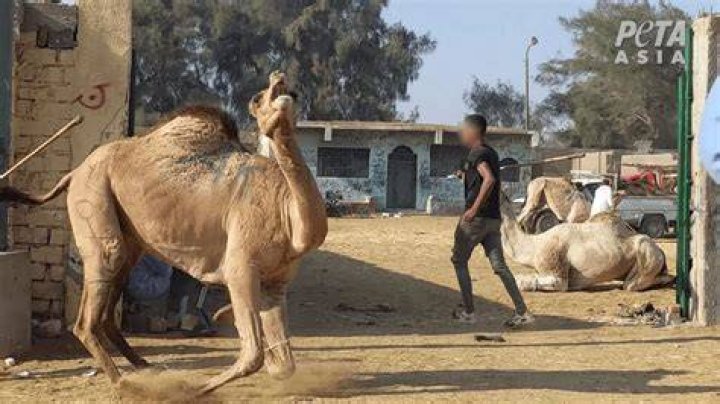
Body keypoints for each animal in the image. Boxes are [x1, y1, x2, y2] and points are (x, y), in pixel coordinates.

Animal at [0, 72, 327, 393]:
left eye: (294, 93)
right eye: (258, 99)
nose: (279, 79)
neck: (286, 210)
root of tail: (73, 173)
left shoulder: (276, 281)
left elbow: (285, 365)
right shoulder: (241, 268)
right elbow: (252, 356)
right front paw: (193, 388)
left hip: (128, 238)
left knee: (109, 301)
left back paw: (146, 367)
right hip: (93, 196)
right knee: (87, 314)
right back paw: (124, 383)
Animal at [500, 194, 673, 292]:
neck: (534, 246)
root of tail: (661, 252)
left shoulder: (556, 271)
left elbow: (522, 281)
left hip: (647, 254)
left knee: (630, 285)